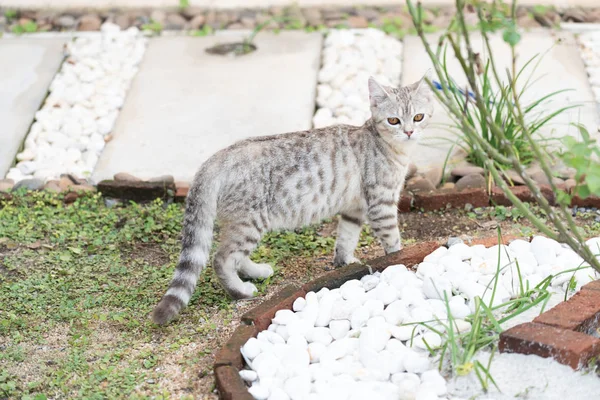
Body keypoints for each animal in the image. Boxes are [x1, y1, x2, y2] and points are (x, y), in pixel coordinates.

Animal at [150, 76, 432, 324]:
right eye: (393, 120)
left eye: (419, 117)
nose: (409, 131)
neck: (391, 149)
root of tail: (217, 158)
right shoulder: (381, 205)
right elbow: (393, 242)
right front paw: (396, 264)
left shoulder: (354, 209)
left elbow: (345, 239)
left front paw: (345, 265)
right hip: (250, 222)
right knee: (222, 258)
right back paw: (241, 291)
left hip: (244, 224)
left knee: (236, 256)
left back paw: (258, 272)